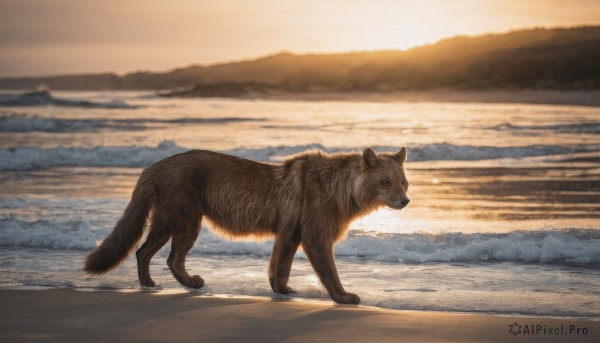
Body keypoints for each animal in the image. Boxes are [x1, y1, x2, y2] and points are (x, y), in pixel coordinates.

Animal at [84, 147, 410, 304]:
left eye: (403, 181)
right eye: (385, 181)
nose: (405, 200)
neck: (342, 193)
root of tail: (153, 166)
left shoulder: (289, 228)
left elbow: (281, 262)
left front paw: (281, 287)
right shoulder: (314, 227)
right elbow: (326, 265)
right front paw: (345, 296)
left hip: (166, 213)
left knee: (144, 248)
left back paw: (149, 282)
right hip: (186, 210)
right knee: (173, 253)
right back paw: (192, 280)